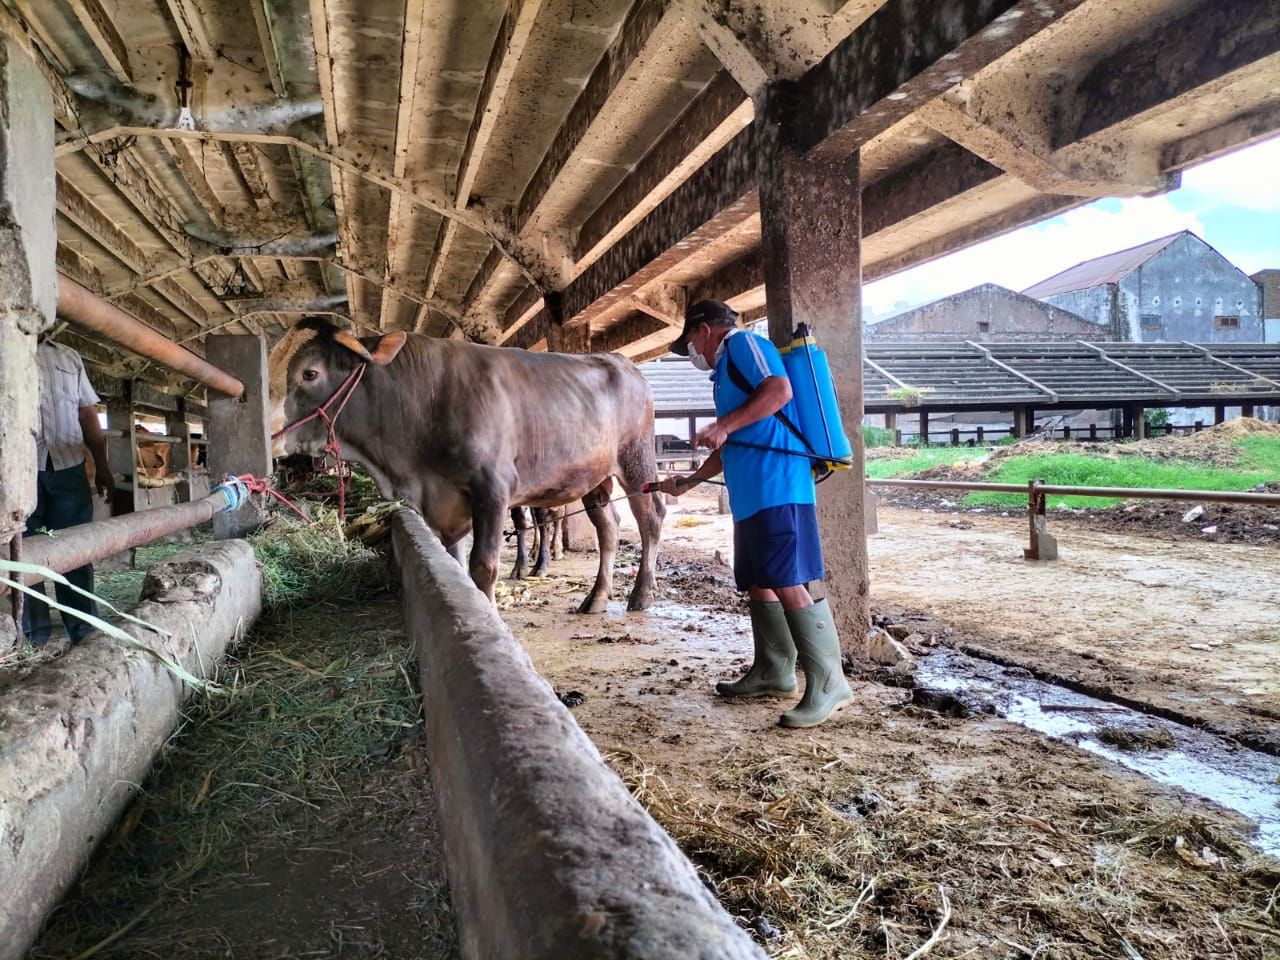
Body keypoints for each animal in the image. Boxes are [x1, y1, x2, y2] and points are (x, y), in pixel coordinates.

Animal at [269, 318, 665, 612]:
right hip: (595, 477)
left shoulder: (493, 487)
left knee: (650, 519)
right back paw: (596, 597)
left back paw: (641, 594)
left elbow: (483, 566)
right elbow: (457, 565)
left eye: (309, 373)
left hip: (636, 461)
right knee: (608, 527)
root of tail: (621, 361)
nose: (269, 435)